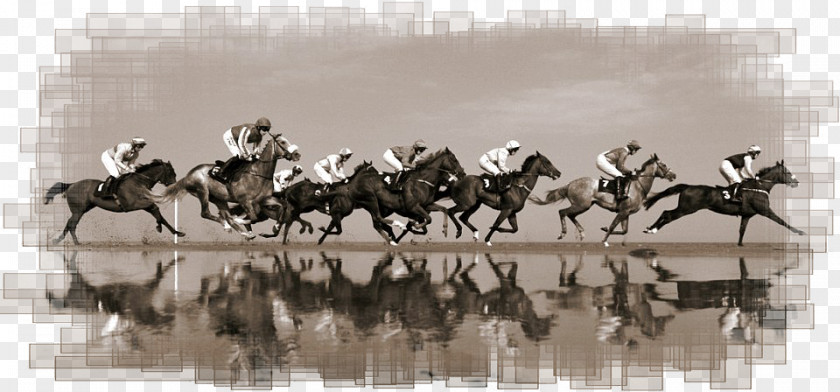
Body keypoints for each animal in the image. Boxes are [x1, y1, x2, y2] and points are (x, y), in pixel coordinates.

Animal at [43, 159, 183, 245]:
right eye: (171, 172)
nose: (174, 185)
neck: (139, 182)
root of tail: (71, 185)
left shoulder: (144, 204)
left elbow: (157, 212)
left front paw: (177, 232)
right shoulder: (133, 205)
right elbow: (155, 210)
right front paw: (159, 227)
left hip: (82, 209)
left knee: (69, 223)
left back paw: (58, 240)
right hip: (78, 211)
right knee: (72, 225)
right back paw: (77, 243)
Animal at [153, 133, 300, 239]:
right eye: (282, 142)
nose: (297, 154)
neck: (259, 174)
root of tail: (187, 176)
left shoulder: (263, 199)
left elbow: (281, 206)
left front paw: (274, 227)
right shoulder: (244, 200)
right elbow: (253, 217)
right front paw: (241, 220)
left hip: (219, 198)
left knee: (226, 215)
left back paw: (243, 232)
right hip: (202, 191)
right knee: (206, 213)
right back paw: (229, 227)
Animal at [528, 153, 680, 245]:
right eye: (664, 165)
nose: (674, 175)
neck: (638, 185)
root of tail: (570, 184)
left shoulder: (626, 213)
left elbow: (624, 230)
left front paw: (604, 228)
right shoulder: (623, 212)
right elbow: (613, 226)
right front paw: (604, 240)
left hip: (584, 206)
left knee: (570, 215)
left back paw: (581, 233)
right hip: (581, 205)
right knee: (562, 212)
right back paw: (563, 233)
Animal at [644, 159, 808, 245]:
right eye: (787, 172)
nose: (797, 182)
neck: (760, 187)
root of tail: (687, 186)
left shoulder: (747, 215)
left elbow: (742, 230)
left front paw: (740, 244)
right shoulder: (765, 210)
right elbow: (782, 221)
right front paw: (800, 232)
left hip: (685, 208)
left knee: (666, 213)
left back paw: (649, 228)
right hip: (686, 209)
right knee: (668, 214)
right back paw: (652, 229)